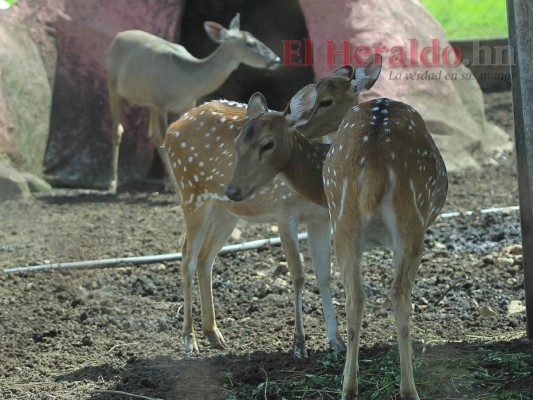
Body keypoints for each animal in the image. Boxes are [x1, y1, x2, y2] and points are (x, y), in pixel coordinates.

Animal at [103, 13, 278, 193]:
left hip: (148, 101)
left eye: (254, 36)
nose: (276, 59)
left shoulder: (185, 103)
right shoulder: (161, 102)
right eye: (250, 43)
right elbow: (165, 136)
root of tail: (117, 37)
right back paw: (112, 183)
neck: (188, 80)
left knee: (151, 133)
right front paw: (170, 183)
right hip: (113, 84)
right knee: (118, 130)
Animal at [162, 60, 382, 360]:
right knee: (187, 256)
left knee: (206, 258)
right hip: (191, 193)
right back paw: (189, 339)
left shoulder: (321, 219)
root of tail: (171, 129)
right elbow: (298, 275)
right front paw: (299, 344)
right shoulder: (285, 212)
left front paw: (335, 341)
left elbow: (324, 274)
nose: (300, 126)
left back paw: (215, 335)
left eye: (327, 101)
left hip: (225, 211)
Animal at [224, 83, 444, 398]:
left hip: (347, 218)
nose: (232, 190)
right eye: (237, 142)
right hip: (410, 217)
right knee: (396, 292)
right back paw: (405, 388)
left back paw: (350, 385)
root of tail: (376, 160)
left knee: (357, 295)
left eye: (267, 144)